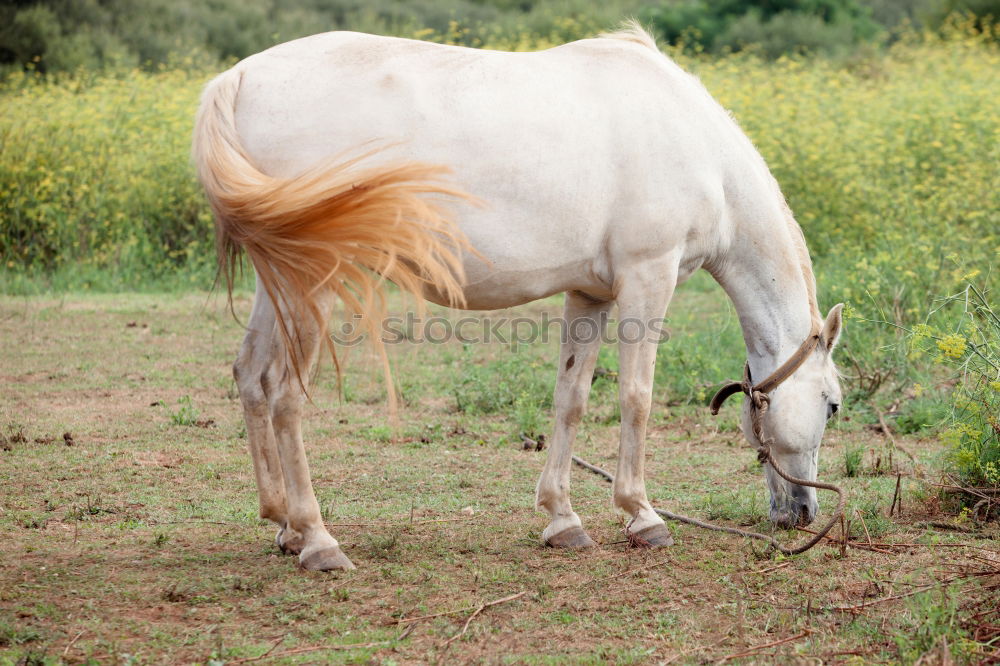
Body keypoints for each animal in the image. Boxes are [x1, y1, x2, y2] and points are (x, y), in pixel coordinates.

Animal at [189, 23, 844, 568]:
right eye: (834, 404)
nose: (802, 514)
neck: (697, 146)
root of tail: (238, 78)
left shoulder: (590, 292)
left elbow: (571, 397)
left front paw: (563, 518)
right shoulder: (647, 279)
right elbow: (636, 397)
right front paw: (642, 515)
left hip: (278, 282)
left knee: (252, 378)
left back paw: (284, 526)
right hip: (315, 281)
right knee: (285, 396)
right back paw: (318, 539)